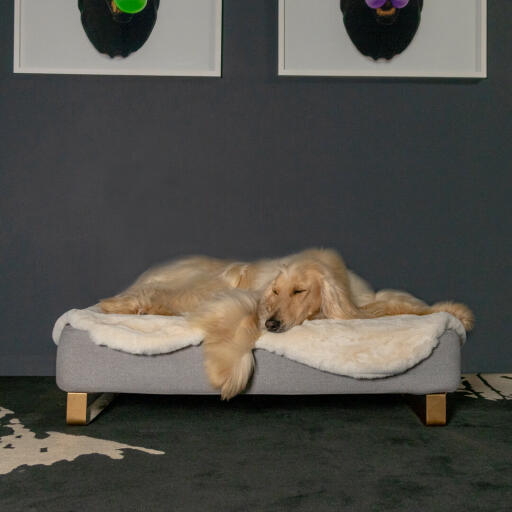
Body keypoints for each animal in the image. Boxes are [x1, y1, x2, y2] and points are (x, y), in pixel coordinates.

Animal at [99, 248, 472, 400]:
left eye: (299, 290)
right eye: (277, 290)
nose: (274, 323)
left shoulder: (357, 300)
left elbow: (393, 303)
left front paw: (455, 311)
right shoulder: (247, 296)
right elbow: (241, 319)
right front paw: (226, 371)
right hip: (202, 281)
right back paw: (117, 304)